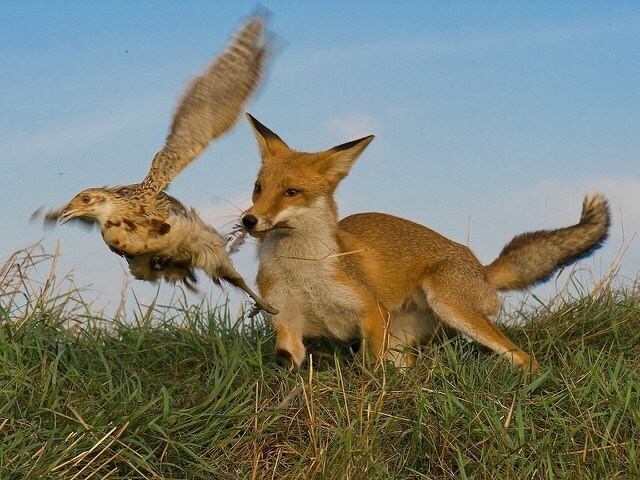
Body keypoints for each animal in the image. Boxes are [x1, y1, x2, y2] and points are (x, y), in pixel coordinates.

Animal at [240, 114, 608, 374]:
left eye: (291, 192)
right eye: (258, 188)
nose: (248, 220)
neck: (303, 274)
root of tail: (482, 270)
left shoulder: (372, 311)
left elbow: (370, 371)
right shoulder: (288, 326)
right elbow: (289, 364)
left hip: (450, 306)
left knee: (524, 357)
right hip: (403, 342)